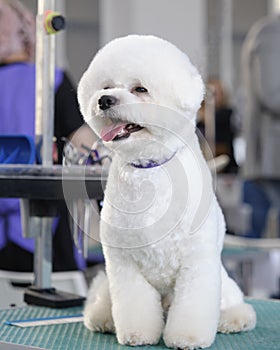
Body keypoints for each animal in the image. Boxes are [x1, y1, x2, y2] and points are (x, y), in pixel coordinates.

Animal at [77, 36, 258, 350]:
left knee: (232, 301)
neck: (148, 169)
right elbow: (133, 305)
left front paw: (188, 338)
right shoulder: (123, 265)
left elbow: (193, 307)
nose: (104, 100)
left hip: (221, 281)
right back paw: (104, 318)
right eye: (105, 86)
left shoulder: (196, 261)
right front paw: (136, 334)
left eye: (140, 89)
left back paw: (234, 319)